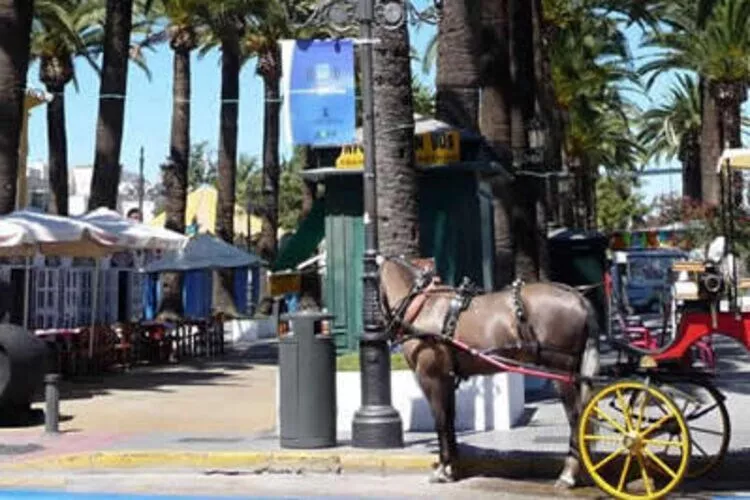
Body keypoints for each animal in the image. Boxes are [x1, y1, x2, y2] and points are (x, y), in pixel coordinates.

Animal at [378, 258, 604, 488]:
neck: (423, 306)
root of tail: (577, 297)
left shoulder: (430, 377)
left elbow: (440, 421)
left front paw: (443, 468)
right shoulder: (446, 378)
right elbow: (449, 419)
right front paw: (452, 467)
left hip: (561, 372)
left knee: (576, 417)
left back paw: (568, 474)